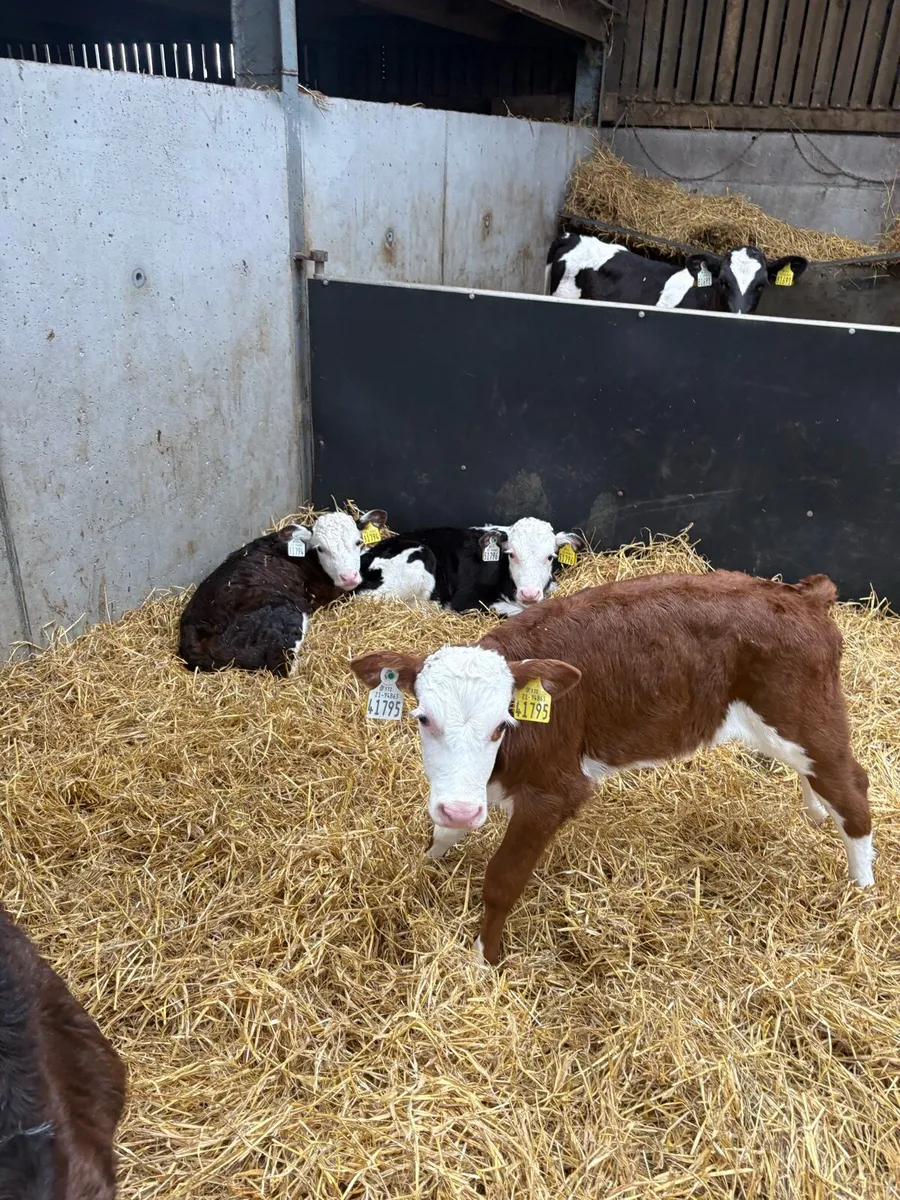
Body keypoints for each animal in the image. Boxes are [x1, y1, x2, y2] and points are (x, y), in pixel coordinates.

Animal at [178, 509, 387, 675]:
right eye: (321, 548)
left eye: (358, 542)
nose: (349, 577)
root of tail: (193, 633)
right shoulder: (333, 594)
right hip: (285, 618)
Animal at [352, 570, 874, 964]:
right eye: (423, 718)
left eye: (502, 724)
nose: (461, 808)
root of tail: (801, 595)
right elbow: (443, 831)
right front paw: (426, 863)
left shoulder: (556, 791)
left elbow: (502, 880)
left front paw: (484, 959)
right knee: (820, 778)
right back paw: (815, 811)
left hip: (802, 714)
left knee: (853, 787)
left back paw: (863, 891)